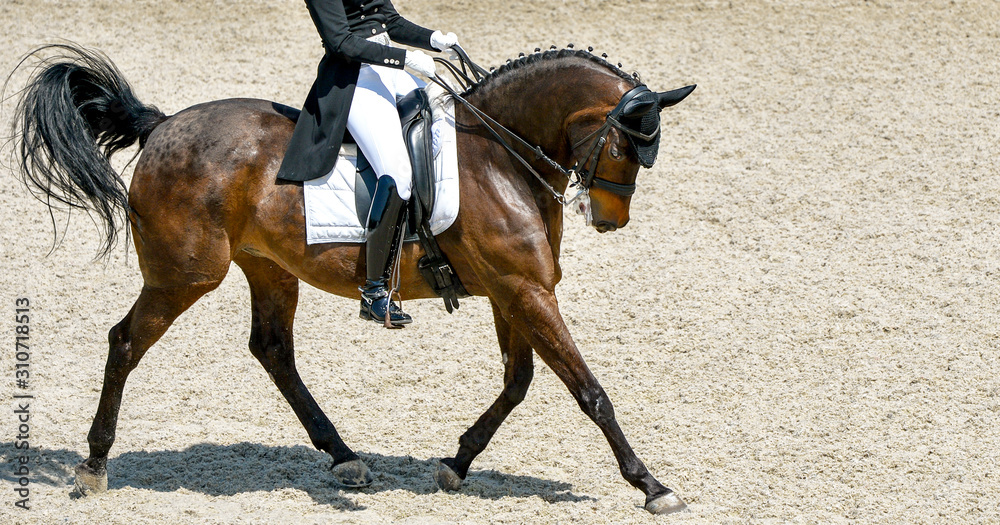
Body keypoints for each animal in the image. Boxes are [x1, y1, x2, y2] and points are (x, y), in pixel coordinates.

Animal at [10, 43, 695, 515]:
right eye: (628, 148)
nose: (611, 221)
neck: (500, 157)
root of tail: (163, 124)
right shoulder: (524, 291)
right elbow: (589, 391)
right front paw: (651, 484)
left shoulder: (516, 293)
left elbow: (518, 383)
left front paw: (456, 463)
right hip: (184, 276)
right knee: (126, 342)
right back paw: (93, 465)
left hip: (268, 268)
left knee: (272, 350)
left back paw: (344, 458)